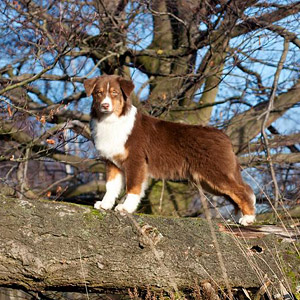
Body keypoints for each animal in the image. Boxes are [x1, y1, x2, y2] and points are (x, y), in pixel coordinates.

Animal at [84, 74, 255, 225]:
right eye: (98, 93)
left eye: (115, 93)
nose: (105, 105)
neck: (112, 121)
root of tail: (224, 136)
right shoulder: (111, 162)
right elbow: (111, 187)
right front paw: (105, 205)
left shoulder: (136, 160)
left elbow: (132, 187)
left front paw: (126, 208)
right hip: (207, 180)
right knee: (235, 193)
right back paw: (240, 218)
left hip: (216, 172)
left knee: (243, 190)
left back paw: (248, 218)